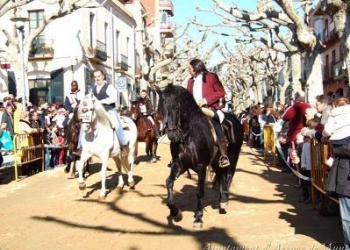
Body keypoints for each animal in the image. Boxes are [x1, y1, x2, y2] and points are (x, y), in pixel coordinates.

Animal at [156, 85, 243, 229]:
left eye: (176, 108)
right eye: (161, 110)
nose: (172, 136)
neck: (187, 136)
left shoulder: (201, 167)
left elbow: (199, 191)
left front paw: (198, 218)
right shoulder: (178, 165)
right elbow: (169, 182)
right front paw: (176, 213)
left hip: (233, 154)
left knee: (229, 174)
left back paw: (224, 200)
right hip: (216, 161)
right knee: (221, 175)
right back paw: (221, 202)